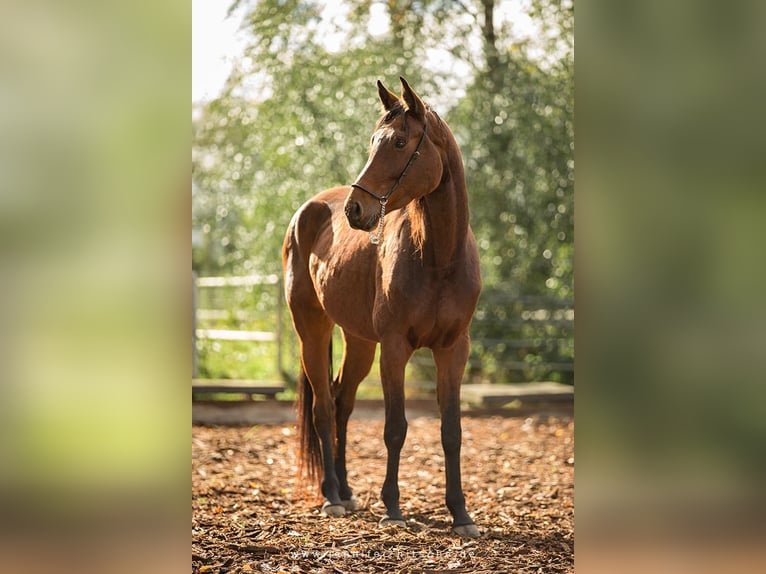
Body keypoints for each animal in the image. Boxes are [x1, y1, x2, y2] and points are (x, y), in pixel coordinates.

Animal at [284, 76, 484, 540]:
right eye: (373, 141)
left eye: (398, 142)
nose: (355, 210)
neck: (438, 257)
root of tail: (308, 211)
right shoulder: (394, 349)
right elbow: (395, 429)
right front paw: (392, 506)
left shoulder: (454, 350)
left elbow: (451, 431)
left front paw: (460, 513)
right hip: (312, 331)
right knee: (324, 407)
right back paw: (331, 496)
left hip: (359, 341)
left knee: (342, 401)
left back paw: (346, 489)